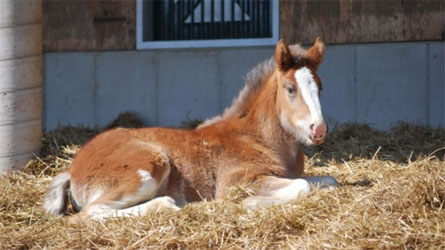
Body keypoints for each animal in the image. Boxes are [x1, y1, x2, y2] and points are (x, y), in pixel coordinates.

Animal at [44, 38, 336, 222]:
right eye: (290, 89)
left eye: (321, 87)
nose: (318, 129)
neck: (258, 138)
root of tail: (73, 167)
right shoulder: (237, 182)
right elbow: (302, 186)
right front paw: (243, 204)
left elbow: (330, 181)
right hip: (148, 167)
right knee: (87, 215)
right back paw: (167, 205)